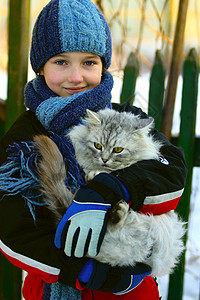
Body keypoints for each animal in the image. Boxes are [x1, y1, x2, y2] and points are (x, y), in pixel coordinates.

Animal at [33, 108, 185, 276]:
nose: (104, 159)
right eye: (97, 146)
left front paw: (100, 176)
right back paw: (118, 211)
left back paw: (118, 211)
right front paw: (93, 174)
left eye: (118, 150)